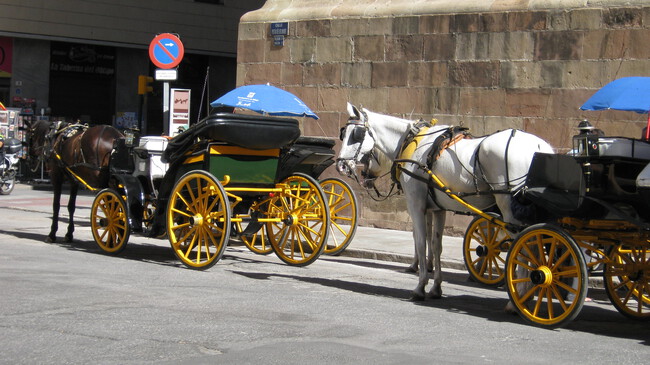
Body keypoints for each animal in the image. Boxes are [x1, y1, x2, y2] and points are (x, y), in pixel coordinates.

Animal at [334, 101, 552, 298]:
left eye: (357, 135)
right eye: (343, 133)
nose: (341, 166)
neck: (413, 145)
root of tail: (540, 146)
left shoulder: (416, 205)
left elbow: (421, 241)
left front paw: (420, 285)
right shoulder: (438, 208)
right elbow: (436, 245)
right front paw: (436, 287)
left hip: (509, 208)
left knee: (525, 247)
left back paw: (520, 295)